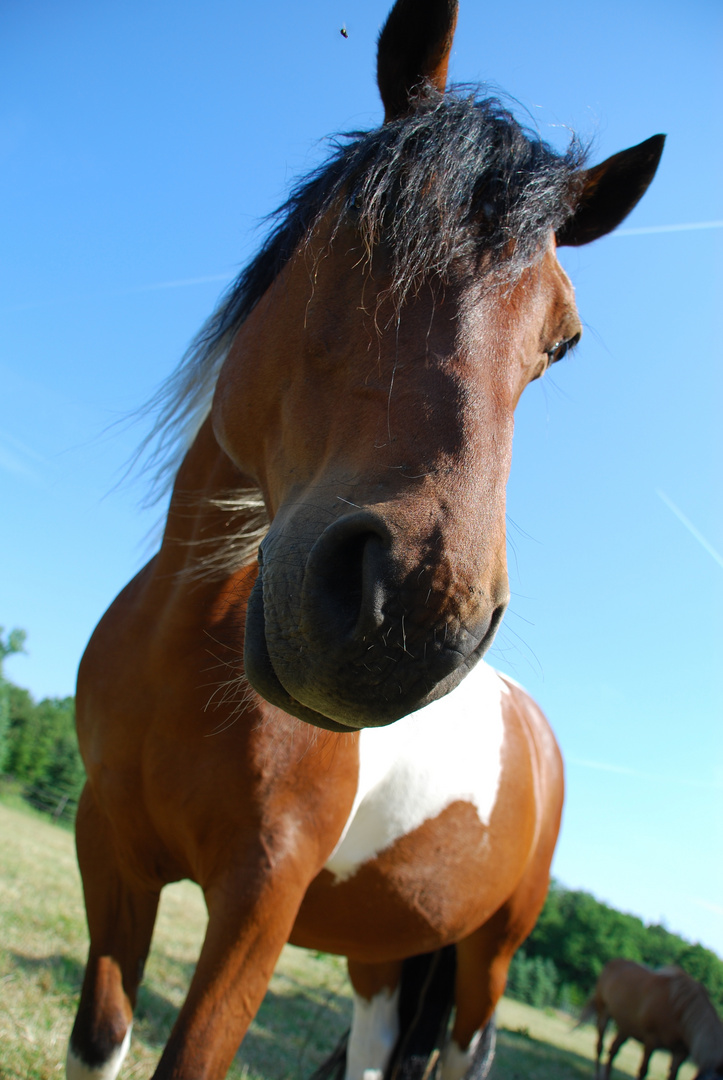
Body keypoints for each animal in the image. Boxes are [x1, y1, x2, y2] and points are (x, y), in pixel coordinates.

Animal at [67, 2, 665, 1080]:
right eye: (361, 220)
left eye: (561, 343)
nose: (412, 618)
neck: (184, 648)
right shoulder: (110, 853)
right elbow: (100, 1042)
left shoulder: (257, 907)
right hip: (384, 953)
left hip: (486, 958)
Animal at [579, 963, 721, 1080]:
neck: (680, 1011)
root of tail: (612, 963)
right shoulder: (651, 1040)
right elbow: (643, 1071)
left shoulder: (680, 1053)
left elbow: (672, 1076)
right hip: (604, 1013)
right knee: (600, 1046)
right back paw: (597, 1074)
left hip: (626, 1028)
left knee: (613, 1050)